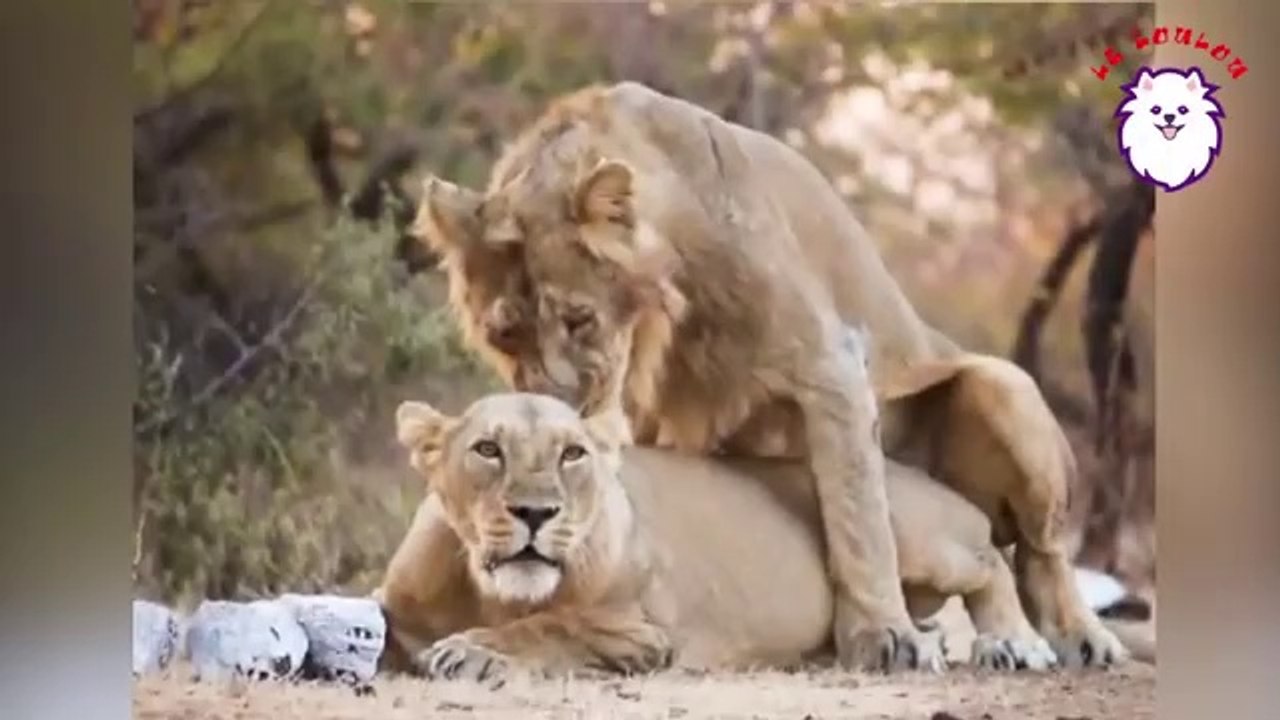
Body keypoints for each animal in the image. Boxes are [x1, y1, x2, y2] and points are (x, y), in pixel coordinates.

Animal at [376, 386, 1059, 686]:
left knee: (992, 561)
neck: (491, 591)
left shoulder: (640, 632)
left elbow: (552, 627)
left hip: (907, 532)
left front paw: (473, 650)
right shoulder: (395, 608)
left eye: (572, 454)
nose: (535, 512)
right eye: (487, 450)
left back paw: (1015, 643)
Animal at [412, 81, 1126, 669]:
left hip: (1004, 389)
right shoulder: (645, 417)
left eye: (579, 318)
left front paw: (882, 635)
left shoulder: (830, 365)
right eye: (506, 333)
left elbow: (858, 520)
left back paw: (1065, 637)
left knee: (1036, 551)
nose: (554, 404)